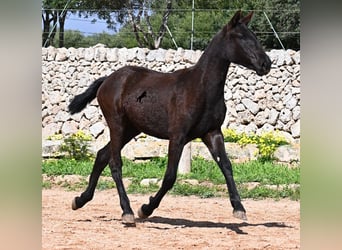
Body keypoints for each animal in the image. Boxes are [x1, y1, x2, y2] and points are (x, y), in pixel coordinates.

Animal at [68, 10, 272, 226]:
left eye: (254, 36)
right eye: (240, 37)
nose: (266, 64)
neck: (201, 88)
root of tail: (107, 79)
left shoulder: (212, 133)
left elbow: (226, 166)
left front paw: (239, 208)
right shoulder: (178, 136)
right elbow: (170, 176)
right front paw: (145, 209)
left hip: (131, 129)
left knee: (101, 155)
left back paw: (80, 200)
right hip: (117, 125)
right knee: (115, 164)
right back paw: (127, 211)